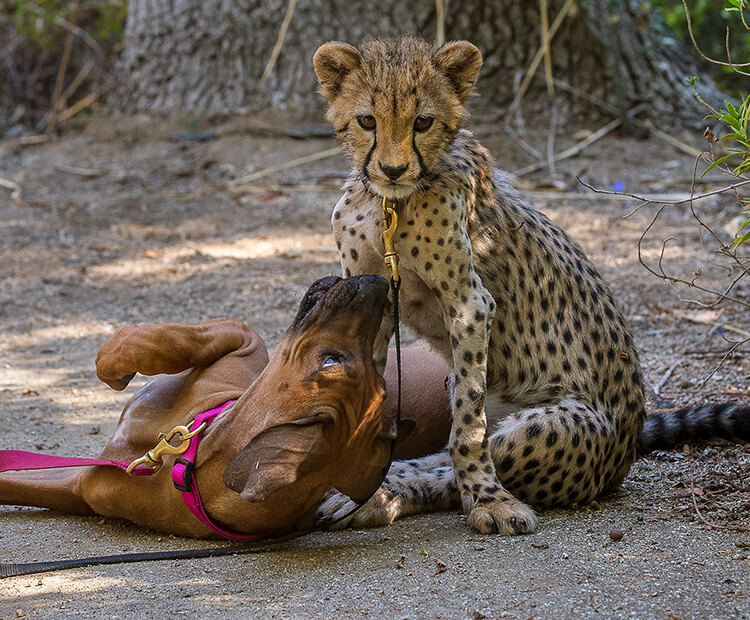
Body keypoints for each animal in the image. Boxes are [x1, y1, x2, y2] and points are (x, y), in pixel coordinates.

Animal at [1, 274, 452, 536]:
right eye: (380, 381)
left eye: (332, 362)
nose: (379, 285)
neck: (181, 457)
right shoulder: (78, 485)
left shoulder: (244, 338)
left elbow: (159, 338)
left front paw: (114, 362)